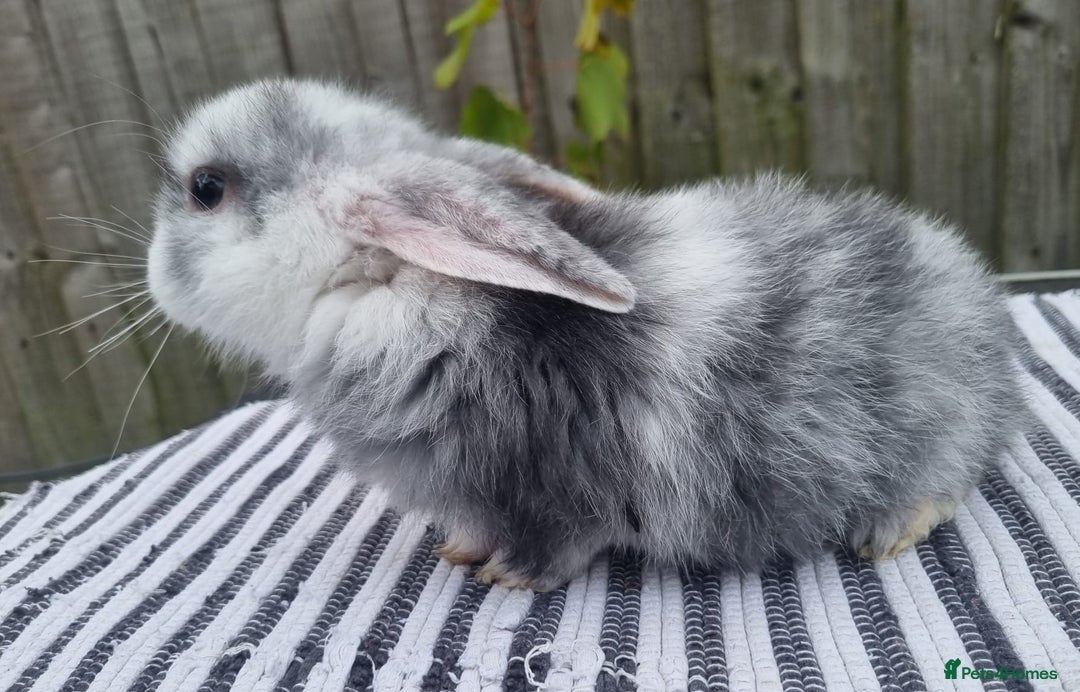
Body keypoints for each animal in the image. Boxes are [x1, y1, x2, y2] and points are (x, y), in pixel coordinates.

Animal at [147, 79, 1025, 591]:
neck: (395, 290)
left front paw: (505, 577)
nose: (152, 273)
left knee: (950, 484)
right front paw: (461, 550)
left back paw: (889, 532)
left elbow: (560, 549)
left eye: (205, 189)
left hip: (937, 440)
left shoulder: (560, 493)